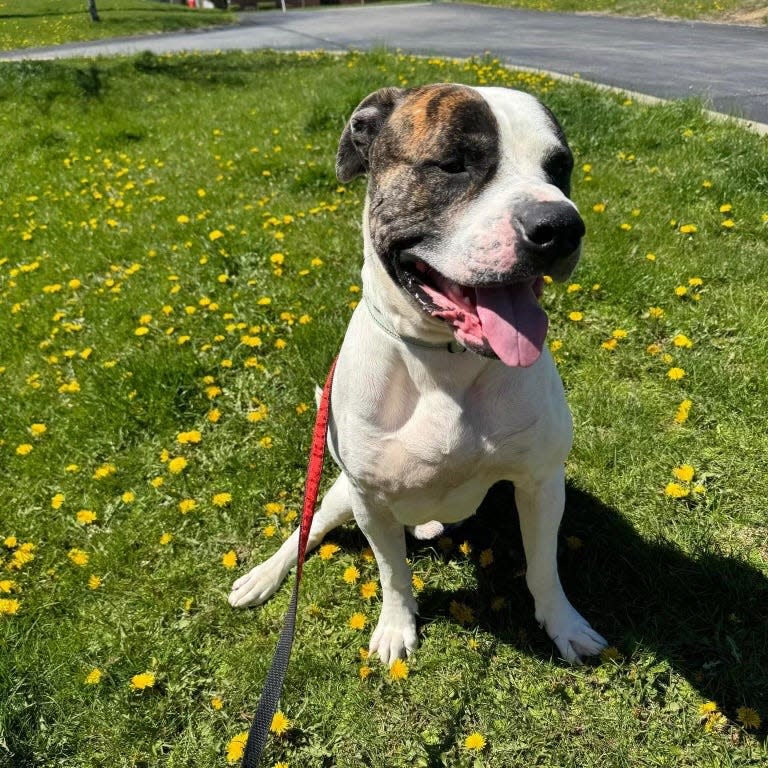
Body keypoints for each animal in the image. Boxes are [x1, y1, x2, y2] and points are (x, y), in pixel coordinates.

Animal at [228, 81, 608, 664]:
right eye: (453, 164)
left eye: (560, 168)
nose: (561, 226)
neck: (444, 361)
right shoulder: (369, 501)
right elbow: (392, 571)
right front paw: (395, 626)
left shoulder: (542, 482)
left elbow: (543, 567)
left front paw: (563, 623)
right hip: (339, 493)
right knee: (307, 530)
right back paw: (263, 576)